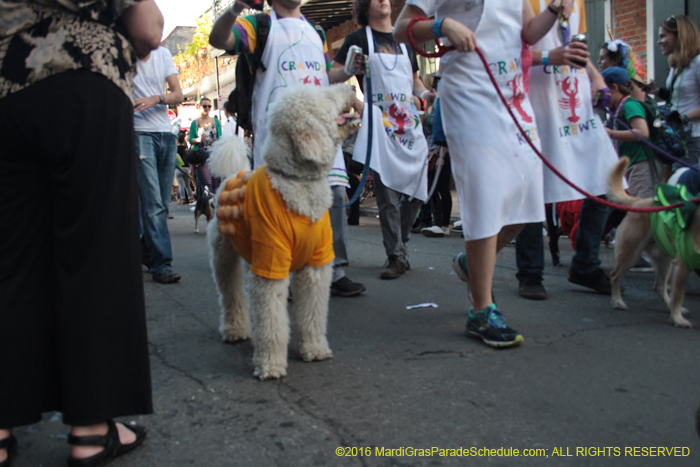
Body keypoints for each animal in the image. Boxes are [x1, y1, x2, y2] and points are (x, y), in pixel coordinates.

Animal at [206, 85, 360, 380]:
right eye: (325, 94)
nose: (351, 87)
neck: (296, 183)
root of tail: (233, 173)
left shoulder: (315, 265)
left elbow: (312, 312)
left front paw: (313, 349)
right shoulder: (270, 263)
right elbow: (271, 321)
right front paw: (270, 365)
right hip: (224, 253)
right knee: (230, 292)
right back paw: (235, 329)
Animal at [604, 156, 696, 326]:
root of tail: (639, 201)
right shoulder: (682, 266)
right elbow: (678, 294)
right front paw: (678, 319)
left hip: (665, 260)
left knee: (659, 288)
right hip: (630, 254)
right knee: (615, 275)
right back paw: (617, 301)